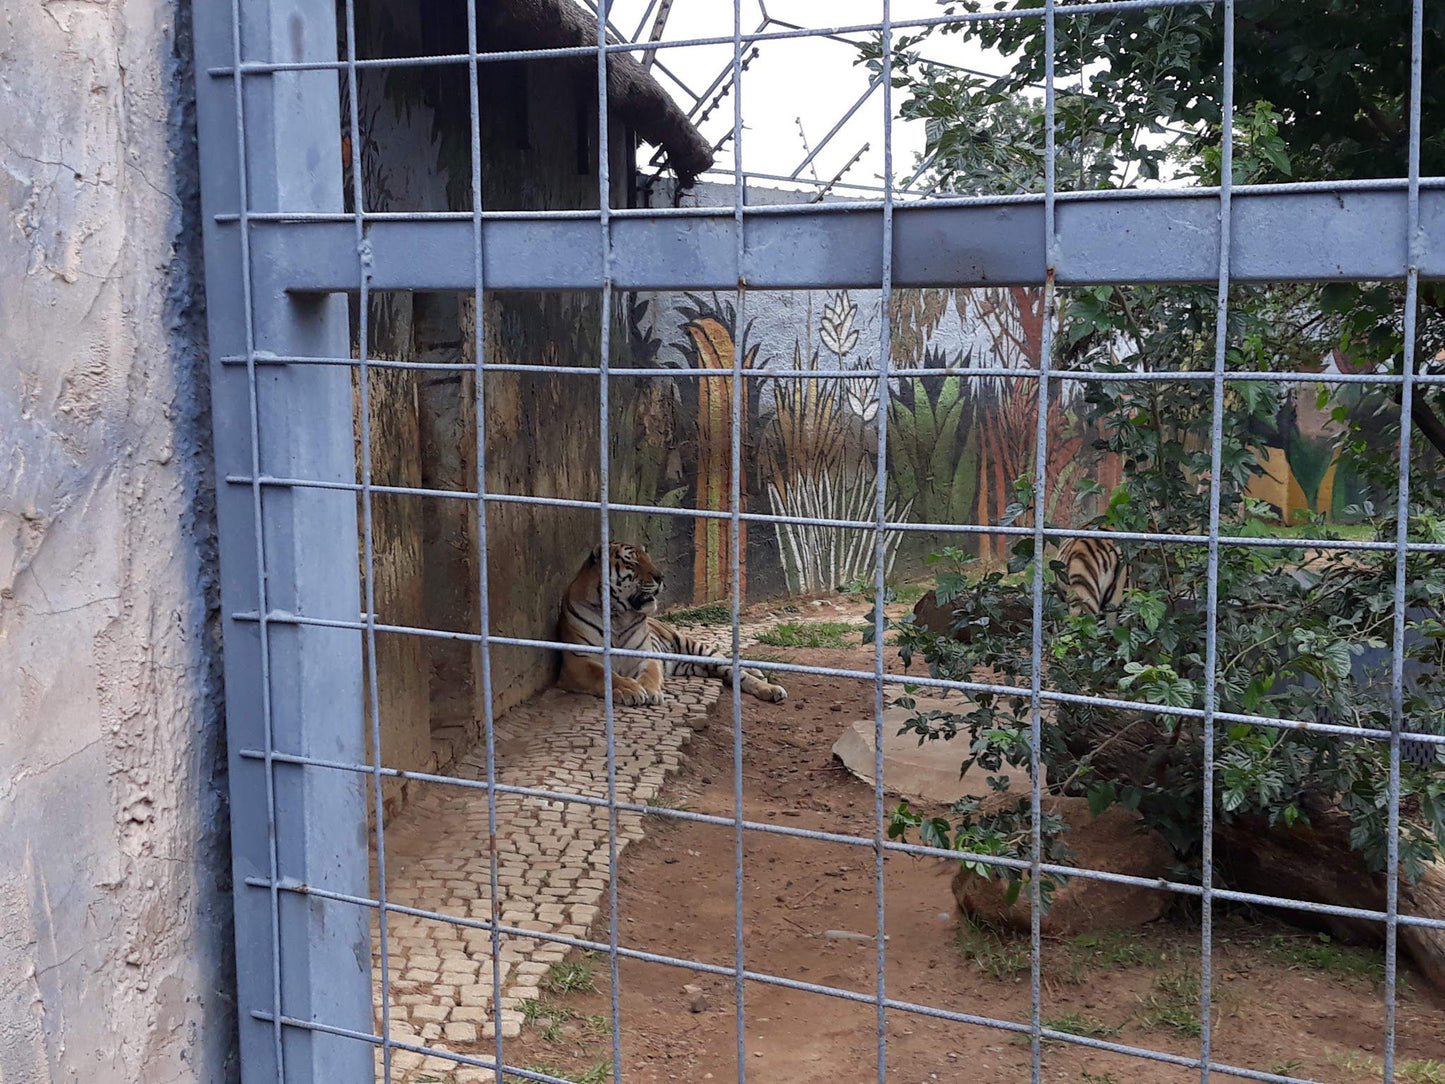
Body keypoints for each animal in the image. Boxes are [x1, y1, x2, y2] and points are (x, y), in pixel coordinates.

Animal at [554, 543, 786, 713]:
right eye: (632, 561)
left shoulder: (646, 655)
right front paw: (630, 689)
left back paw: (770, 688)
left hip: (698, 649)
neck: (617, 616)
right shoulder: (578, 661)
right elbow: (604, 674)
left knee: (738, 672)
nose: (660, 577)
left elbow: (649, 674)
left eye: (648, 559)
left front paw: (649, 691)